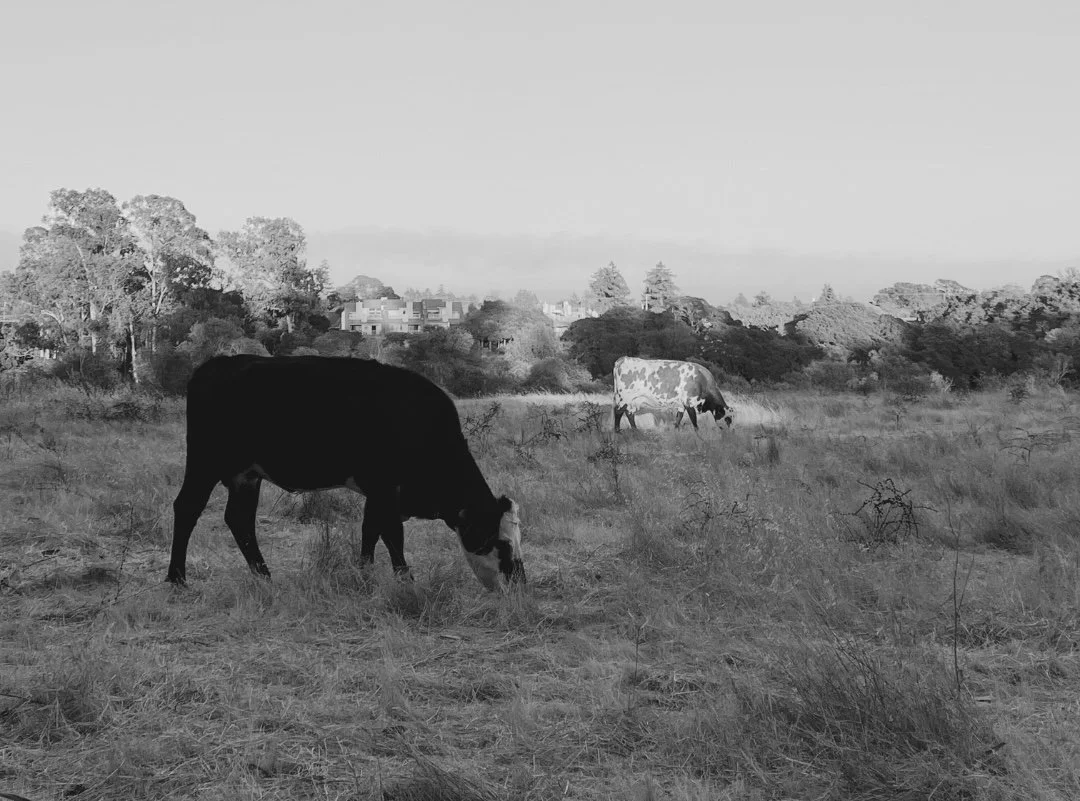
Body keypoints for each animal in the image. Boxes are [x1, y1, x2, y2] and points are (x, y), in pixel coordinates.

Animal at [167, 355, 525, 591]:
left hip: (246, 475)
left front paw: (364, 574)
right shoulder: (384, 486)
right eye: (503, 544)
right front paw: (406, 581)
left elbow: (371, 531)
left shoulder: (378, 492)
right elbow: (392, 535)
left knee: (239, 520)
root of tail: (216, 364)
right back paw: (177, 578)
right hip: (204, 463)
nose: (520, 582)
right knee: (187, 508)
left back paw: (264, 576)